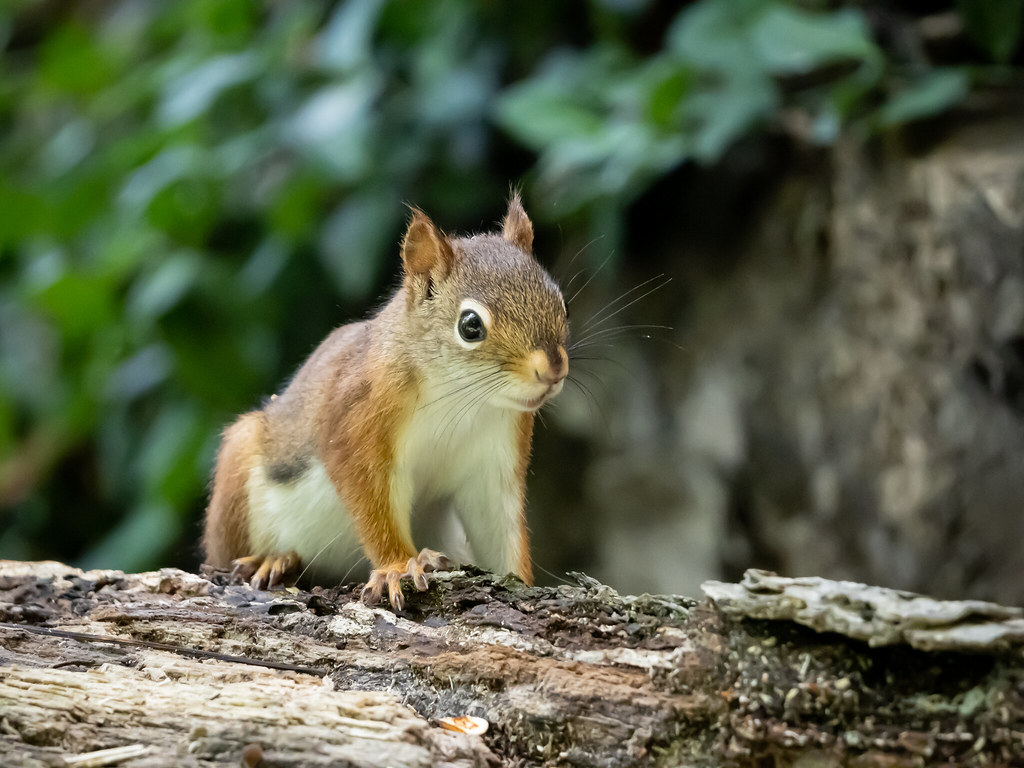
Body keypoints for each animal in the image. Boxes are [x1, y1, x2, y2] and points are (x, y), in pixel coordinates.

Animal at [202, 194, 569, 609]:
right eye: (470, 326)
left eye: (561, 303)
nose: (552, 369)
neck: (464, 399)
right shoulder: (356, 421)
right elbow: (372, 504)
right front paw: (400, 566)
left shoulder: (495, 461)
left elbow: (499, 527)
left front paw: (523, 583)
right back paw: (272, 559)